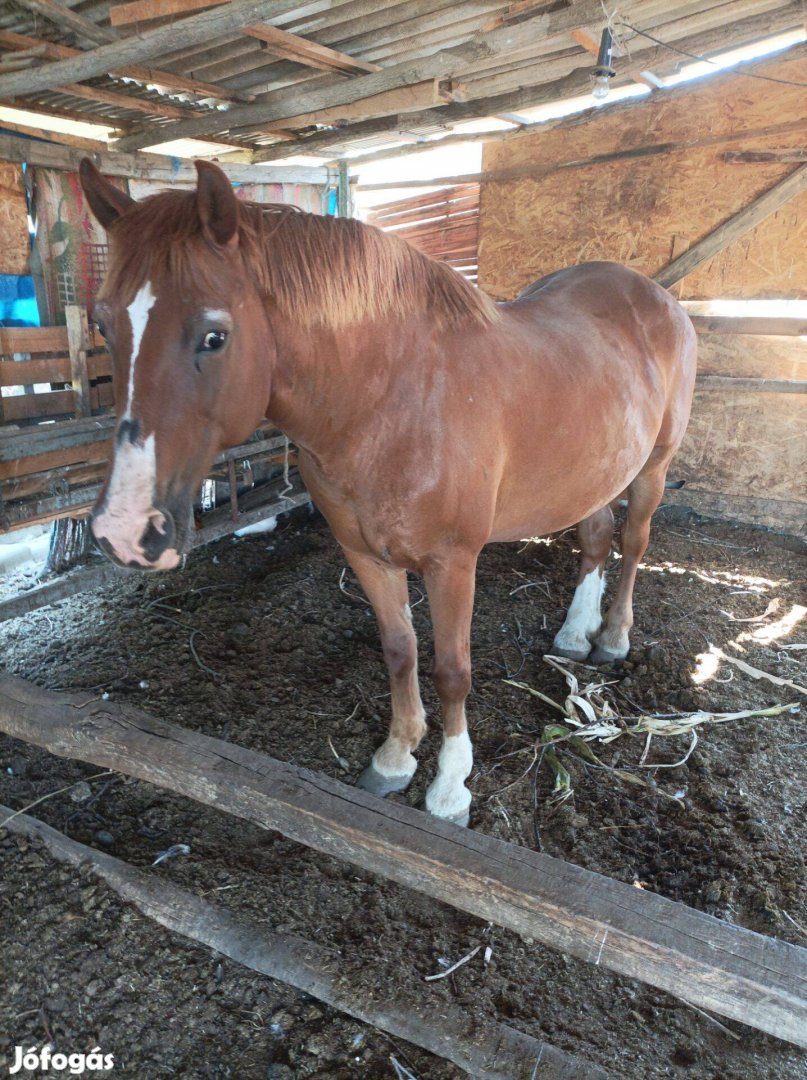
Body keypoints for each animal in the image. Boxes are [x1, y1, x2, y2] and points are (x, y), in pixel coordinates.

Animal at [78, 156, 695, 825]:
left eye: (214, 335)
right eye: (103, 324)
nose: (124, 530)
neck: (390, 402)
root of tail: (657, 296)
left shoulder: (453, 562)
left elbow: (452, 670)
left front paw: (449, 786)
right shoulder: (366, 554)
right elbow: (399, 649)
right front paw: (396, 758)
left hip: (653, 467)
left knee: (634, 544)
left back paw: (611, 638)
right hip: (597, 468)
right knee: (596, 537)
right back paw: (575, 632)